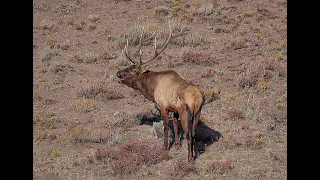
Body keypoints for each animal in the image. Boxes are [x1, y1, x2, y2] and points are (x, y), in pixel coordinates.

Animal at [115, 21, 205, 161]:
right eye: (129, 66)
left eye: (133, 70)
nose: (118, 73)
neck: (152, 88)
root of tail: (197, 97)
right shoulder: (175, 109)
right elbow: (175, 124)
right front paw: (177, 145)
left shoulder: (163, 105)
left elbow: (166, 126)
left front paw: (165, 146)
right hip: (198, 112)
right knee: (194, 132)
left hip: (186, 111)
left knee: (189, 134)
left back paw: (189, 158)